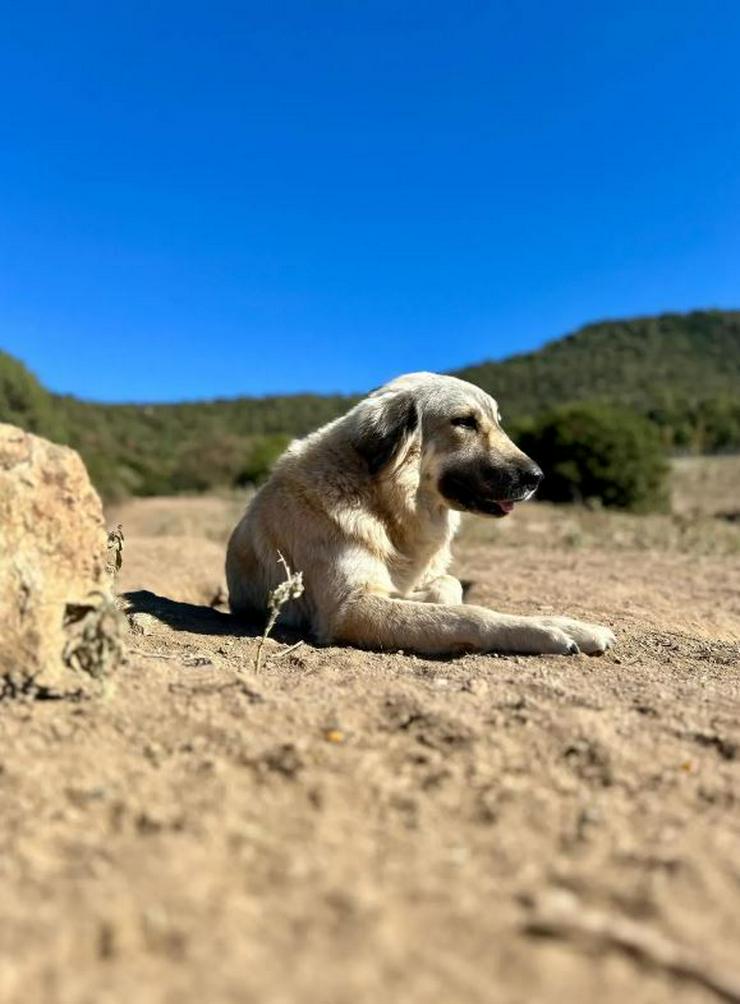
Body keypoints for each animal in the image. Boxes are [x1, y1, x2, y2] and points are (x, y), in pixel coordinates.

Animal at [223, 373, 610, 654]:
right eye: (465, 422)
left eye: (498, 422)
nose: (537, 477)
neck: (383, 506)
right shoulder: (349, 609)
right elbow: (469, 615)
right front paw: (544, 629)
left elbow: (450, 586)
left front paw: (573, 624)